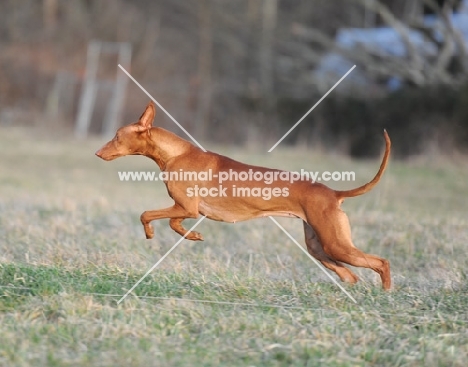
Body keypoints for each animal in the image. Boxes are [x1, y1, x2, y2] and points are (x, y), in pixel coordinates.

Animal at [95, 101, 392, 290]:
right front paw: (193, 235)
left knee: (381, 262)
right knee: (350, 275)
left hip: (335, 244)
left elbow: (148, 215)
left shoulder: (187, 207)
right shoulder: (185, 209)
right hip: (319, 247)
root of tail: (333, 192)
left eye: (117, 136)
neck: (175, 154)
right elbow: (173, 223)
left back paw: (386, 292)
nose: (97, 153)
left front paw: (151, 233)